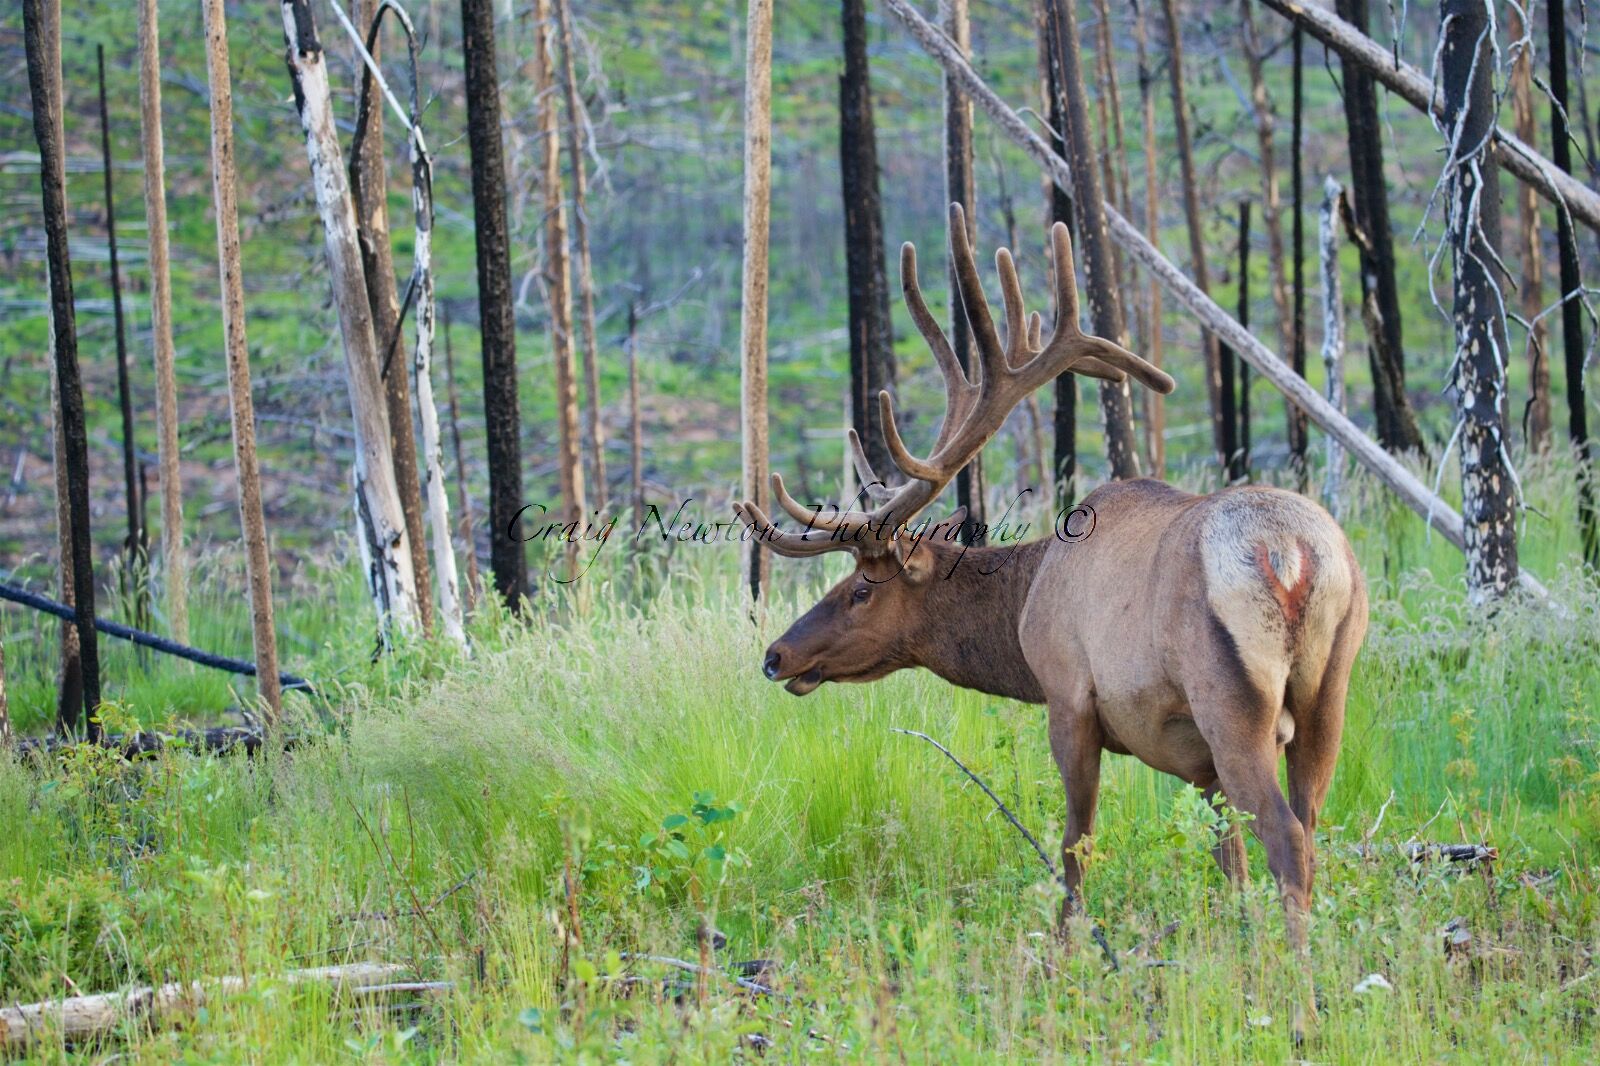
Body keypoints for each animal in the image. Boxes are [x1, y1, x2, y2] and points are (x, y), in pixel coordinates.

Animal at [734, 205, 1369, 994]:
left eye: (858, 590)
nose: (775, 654)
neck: (1024, 607)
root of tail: (1294, 554)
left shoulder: (1068, 694)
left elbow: (1075, 844)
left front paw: (1065, 953)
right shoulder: (1196, 762)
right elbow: (1227, 858)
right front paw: (1236, 946)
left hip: (1231, 696)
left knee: (1284, 833)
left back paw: (1300, 988)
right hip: (1329, 686)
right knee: (1309, 824)